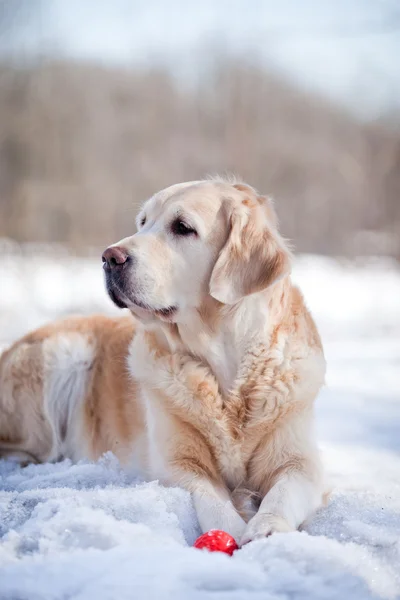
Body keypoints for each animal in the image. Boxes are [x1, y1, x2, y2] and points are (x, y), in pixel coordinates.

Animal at [0, 178, 324, 544]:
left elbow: (284, 491)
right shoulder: (175, 462)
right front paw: (232, 528)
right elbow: (210, 497)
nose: (109, 257)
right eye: (143, 222)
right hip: (62, 358)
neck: (226, 367)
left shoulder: (300, 461)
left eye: (182, 227)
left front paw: (267, 527)